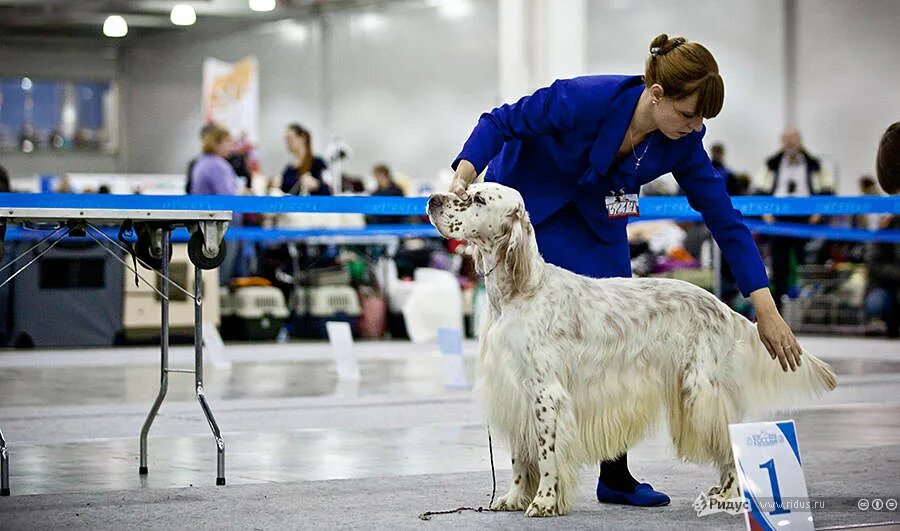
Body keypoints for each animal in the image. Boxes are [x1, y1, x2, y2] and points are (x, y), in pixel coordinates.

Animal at [428, 184, 836, 520]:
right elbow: (518, 457)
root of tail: (725, 308)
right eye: (465, 191)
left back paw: (731, 495)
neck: (519, 292)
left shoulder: (547, 395)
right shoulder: (513, 391)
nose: (432, 200)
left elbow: (546, 455)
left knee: (727, 440)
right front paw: (513, 499)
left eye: (478, 200)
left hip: (700, 393)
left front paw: (543, 502)